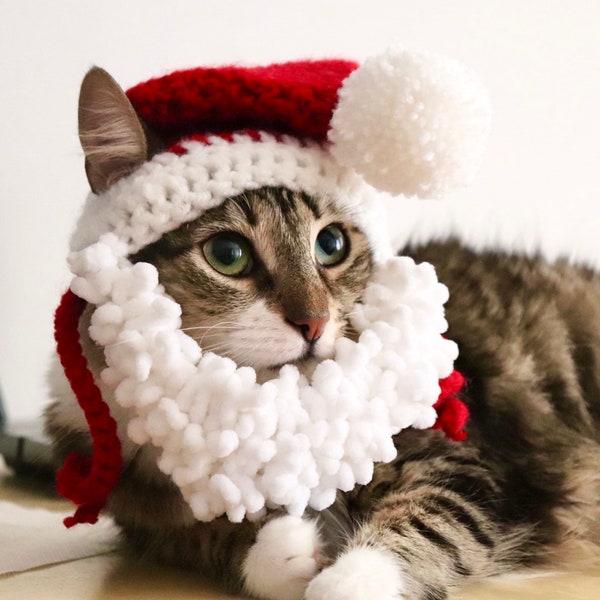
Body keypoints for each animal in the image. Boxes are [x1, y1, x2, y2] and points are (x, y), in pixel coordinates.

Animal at [43, 65, 600, 600]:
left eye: (331, 245)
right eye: (227, 254)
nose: (313, 322)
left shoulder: (466, 465)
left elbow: (425, 525)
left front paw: (344, 579)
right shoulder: (151, 517)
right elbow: (217, 540)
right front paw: (286, 547)